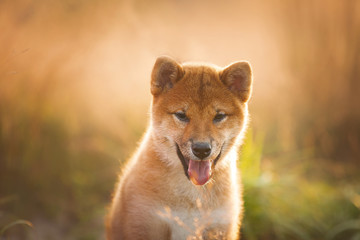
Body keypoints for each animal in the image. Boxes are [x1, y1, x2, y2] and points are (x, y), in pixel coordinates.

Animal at [107, 56, 253, 240]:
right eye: (181, 115)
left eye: (219, 116)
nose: (202, 149)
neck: (192, 196)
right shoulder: (146, 223)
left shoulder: (219, 227)